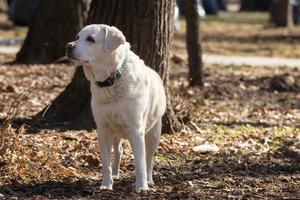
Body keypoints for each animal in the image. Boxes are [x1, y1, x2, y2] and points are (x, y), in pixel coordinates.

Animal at [65, 24, 166, 191]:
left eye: (90, 39)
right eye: (77, 37)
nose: (68, 46)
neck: (111, 80)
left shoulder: (136, 129)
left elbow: (140, 162)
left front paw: (142, 187)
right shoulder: (103, 129)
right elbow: (105, 162)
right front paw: (106, 184)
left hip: (154, 132)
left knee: (149, 157)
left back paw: (149, 180)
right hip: (115, 131)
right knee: (118, 150)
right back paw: (115, 174)